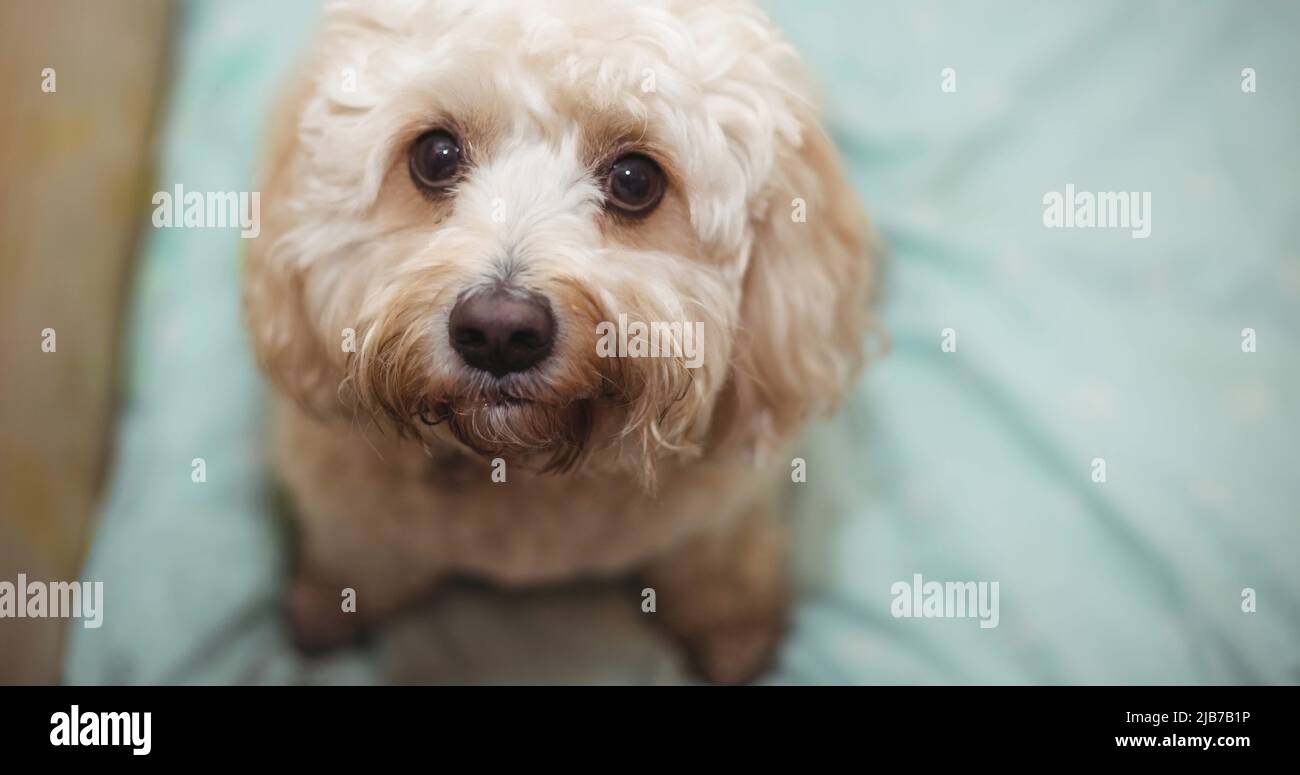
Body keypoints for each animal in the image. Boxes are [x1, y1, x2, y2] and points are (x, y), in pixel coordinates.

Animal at [244, 0, 873, 681]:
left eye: (635, 178)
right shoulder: (354, 520)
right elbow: (359, 563)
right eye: (435, 155)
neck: (524, 472)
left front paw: (733, 636)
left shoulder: (717, 523)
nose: (499, 332)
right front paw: (327, 612)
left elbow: (719, 573)